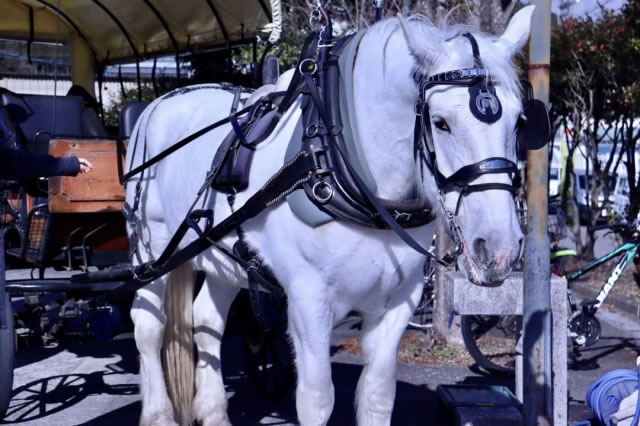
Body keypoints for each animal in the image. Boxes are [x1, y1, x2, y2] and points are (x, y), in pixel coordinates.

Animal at [126, 6, 535, 425]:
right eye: (441, 122)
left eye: (520, 122)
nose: (499, 249)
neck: (337, 163)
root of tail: (158, 103)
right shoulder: (309, 299)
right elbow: (317, 399)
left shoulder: (400, 300)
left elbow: (378, 395)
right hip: (152, 248)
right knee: (148, 324)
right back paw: (157, 413)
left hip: (224, 257)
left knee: (207, 321)